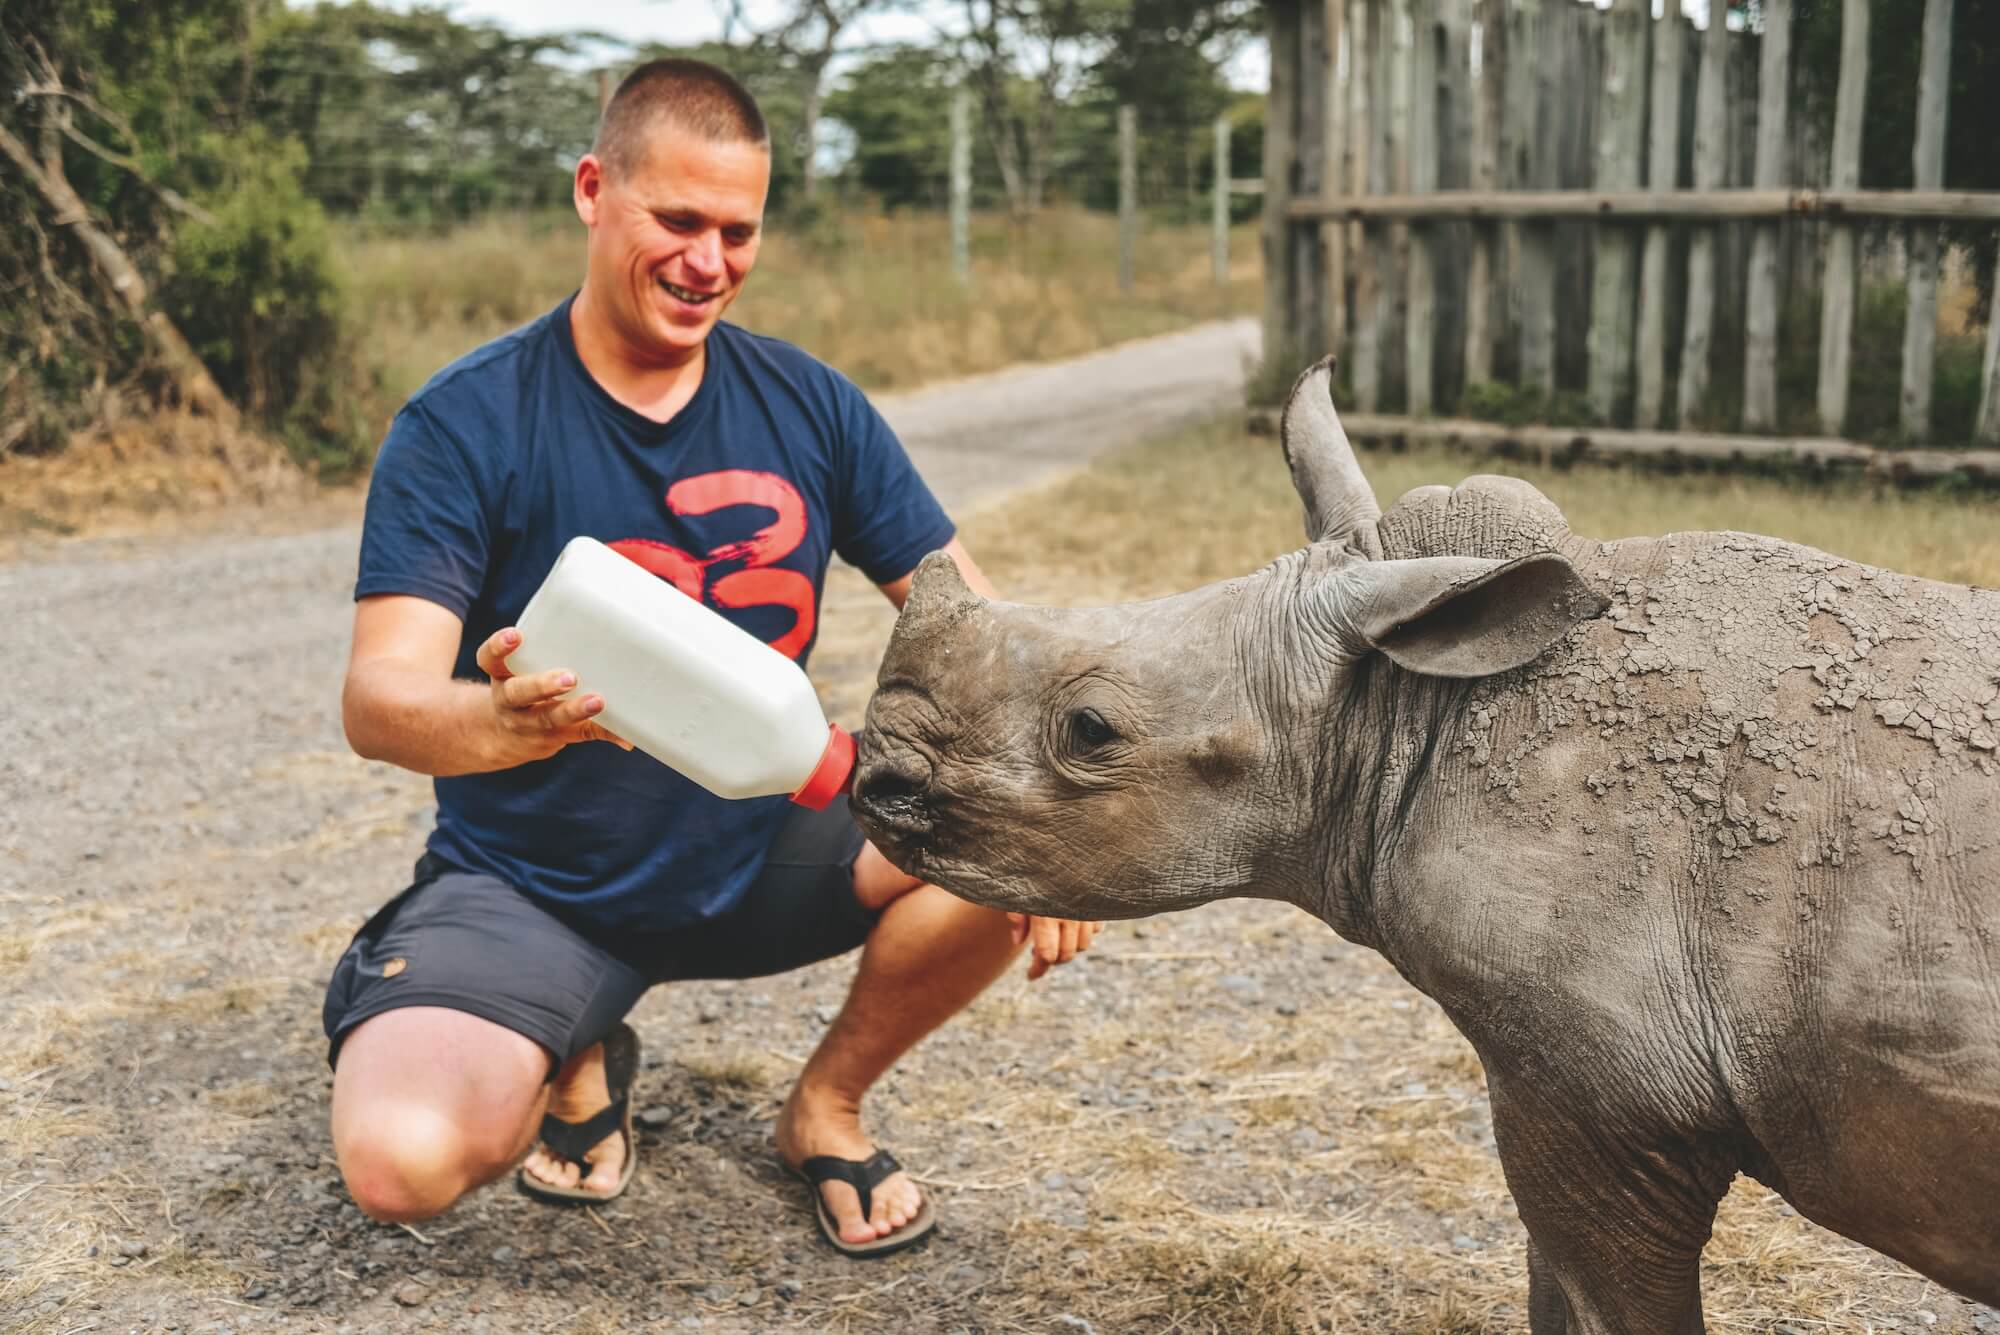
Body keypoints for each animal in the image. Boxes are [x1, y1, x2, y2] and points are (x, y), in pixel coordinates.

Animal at [848, 361, 2000, 1335]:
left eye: (1090, 731)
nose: (872, 779)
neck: (1405, 703)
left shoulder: (1606, 1103)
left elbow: (1604, 1299)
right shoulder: (1570, 1087)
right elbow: (1551, 1290)